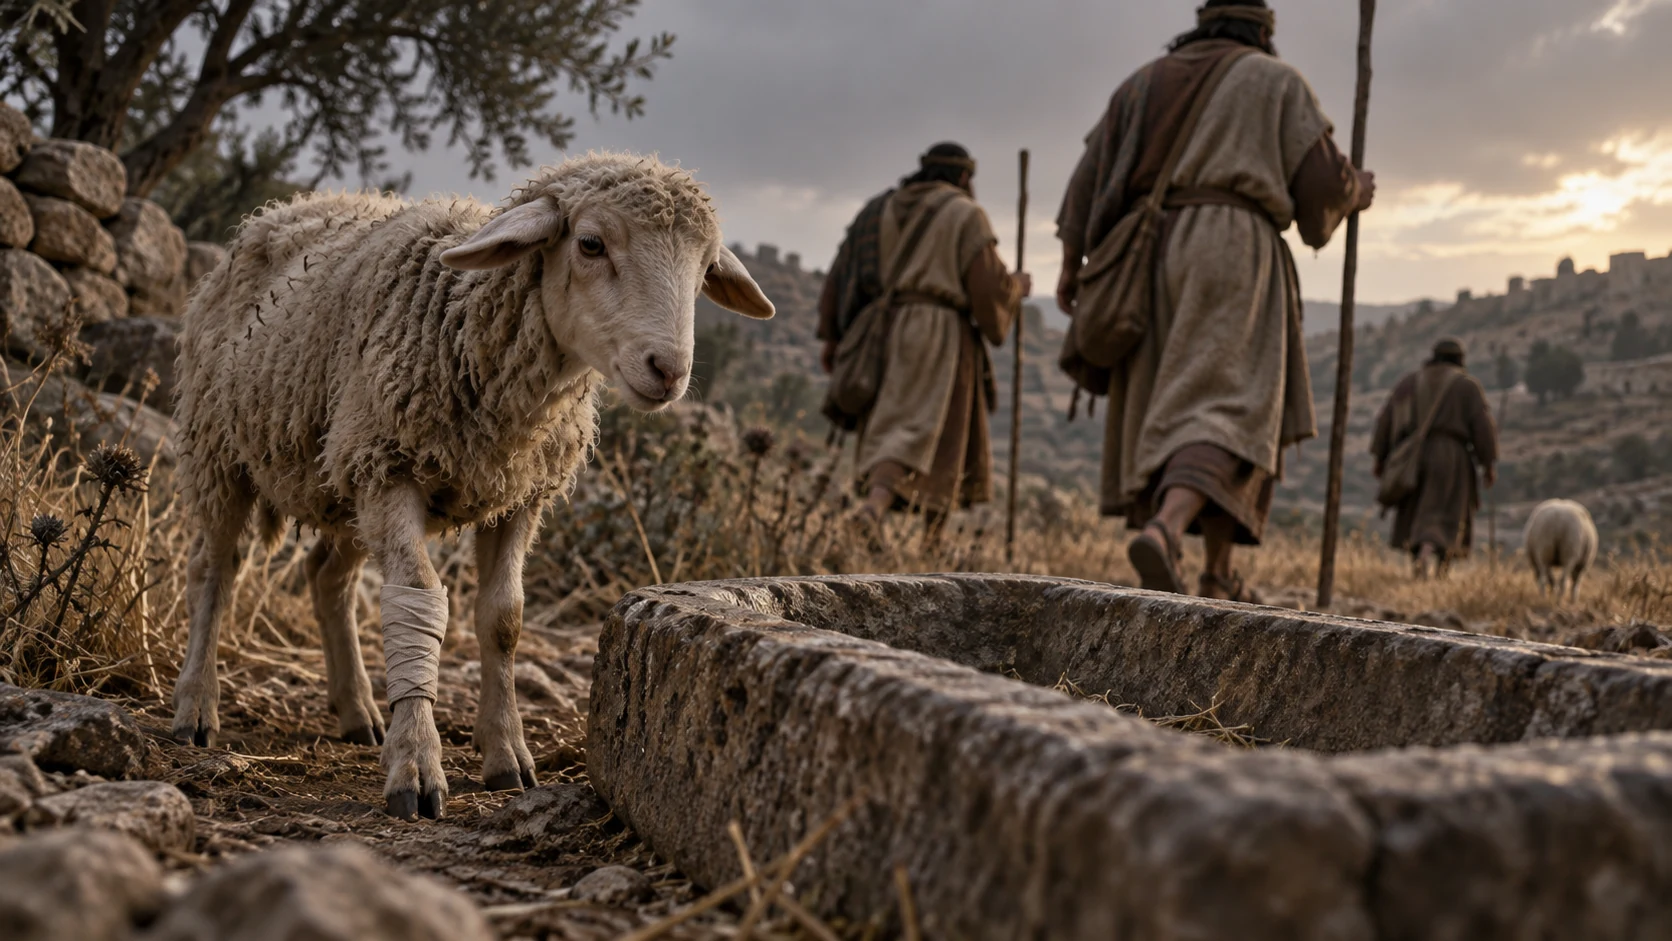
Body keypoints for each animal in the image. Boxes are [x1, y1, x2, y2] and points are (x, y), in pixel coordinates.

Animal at [170, 153, 773, 820]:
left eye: (705, 268)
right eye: (590, 244)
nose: (669, 371)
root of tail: (281, 211)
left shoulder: (519, 493)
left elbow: (503, 617)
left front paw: (506, 754)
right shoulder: (392, 469)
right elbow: (417, 599)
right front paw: (416, 765)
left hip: (343, 468)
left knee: (328, 578)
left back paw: (358, 712)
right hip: (224, 448)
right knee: (213, 570)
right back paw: (196, 707)